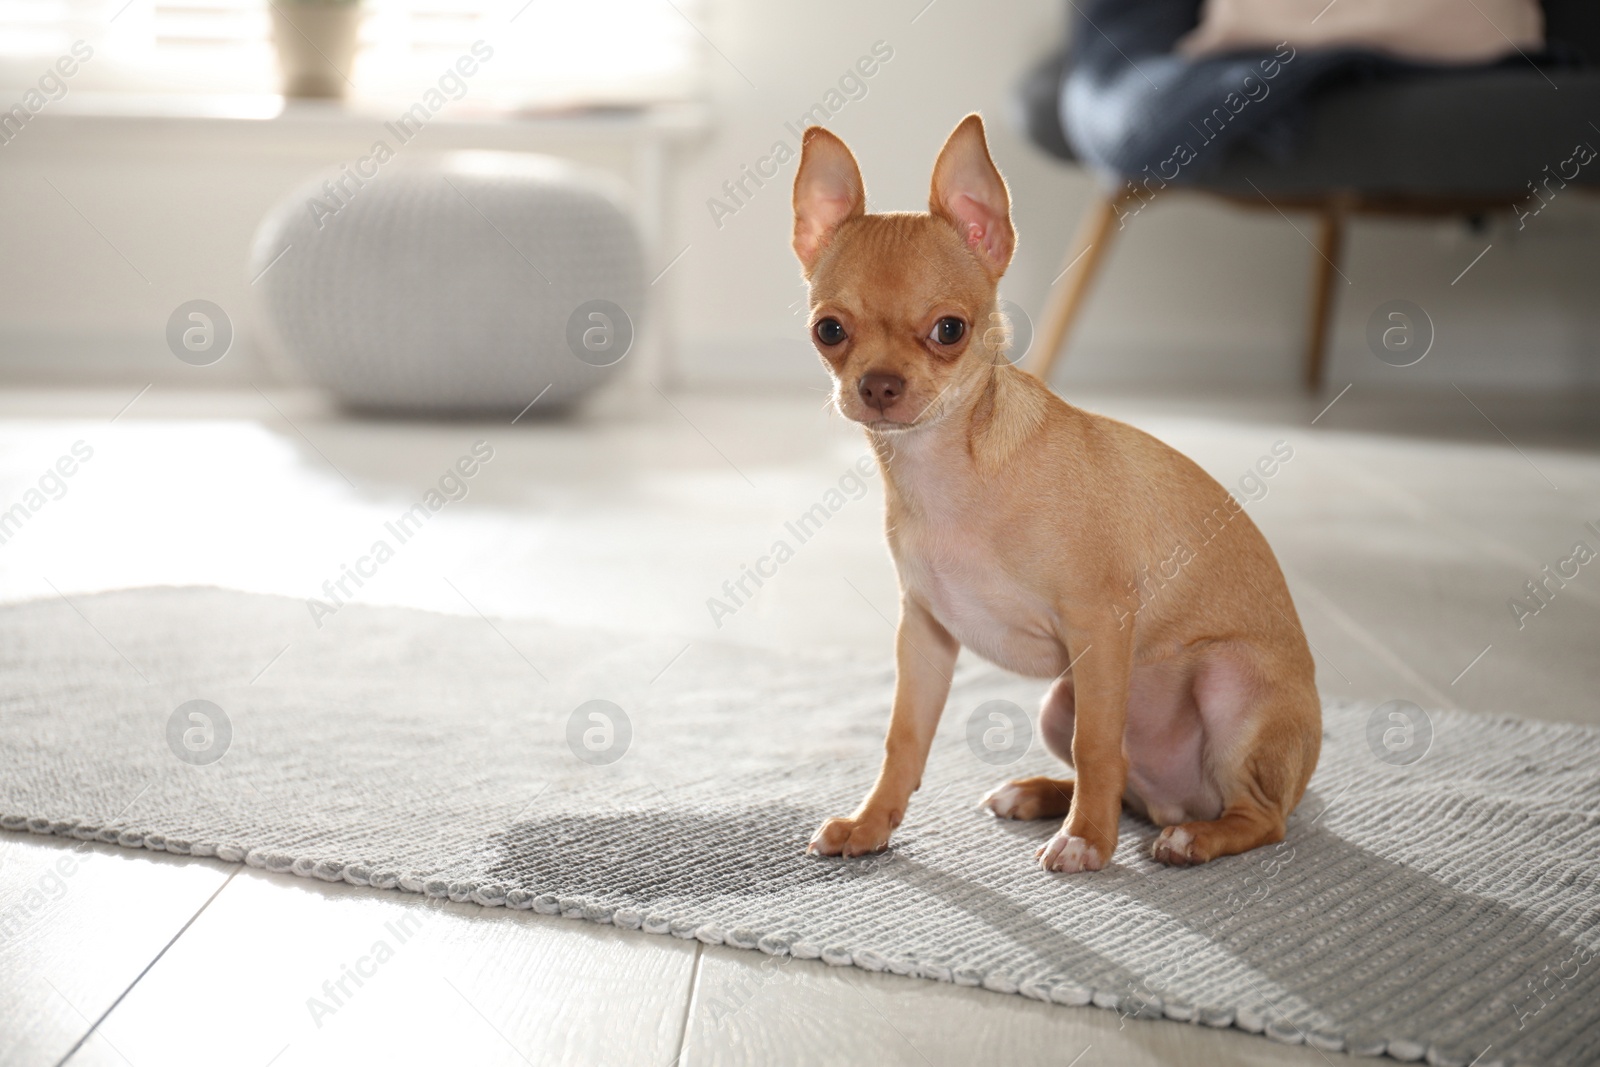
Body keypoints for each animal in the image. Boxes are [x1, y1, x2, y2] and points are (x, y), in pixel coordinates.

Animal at [793, 115, 1318, 876]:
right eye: (829, 331)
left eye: (949, 329)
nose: (880, 385)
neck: (948, 472)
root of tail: (1181, 802)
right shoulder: (925, 634)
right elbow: (904, 739)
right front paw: (871, 824)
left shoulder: (1099, 625)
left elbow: (1097, 743)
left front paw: (1088, 841)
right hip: (1057, 701)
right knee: (1130, 781)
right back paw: (1041, 793)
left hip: (1230, 685)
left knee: (1258, 817)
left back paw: (1190, 838)